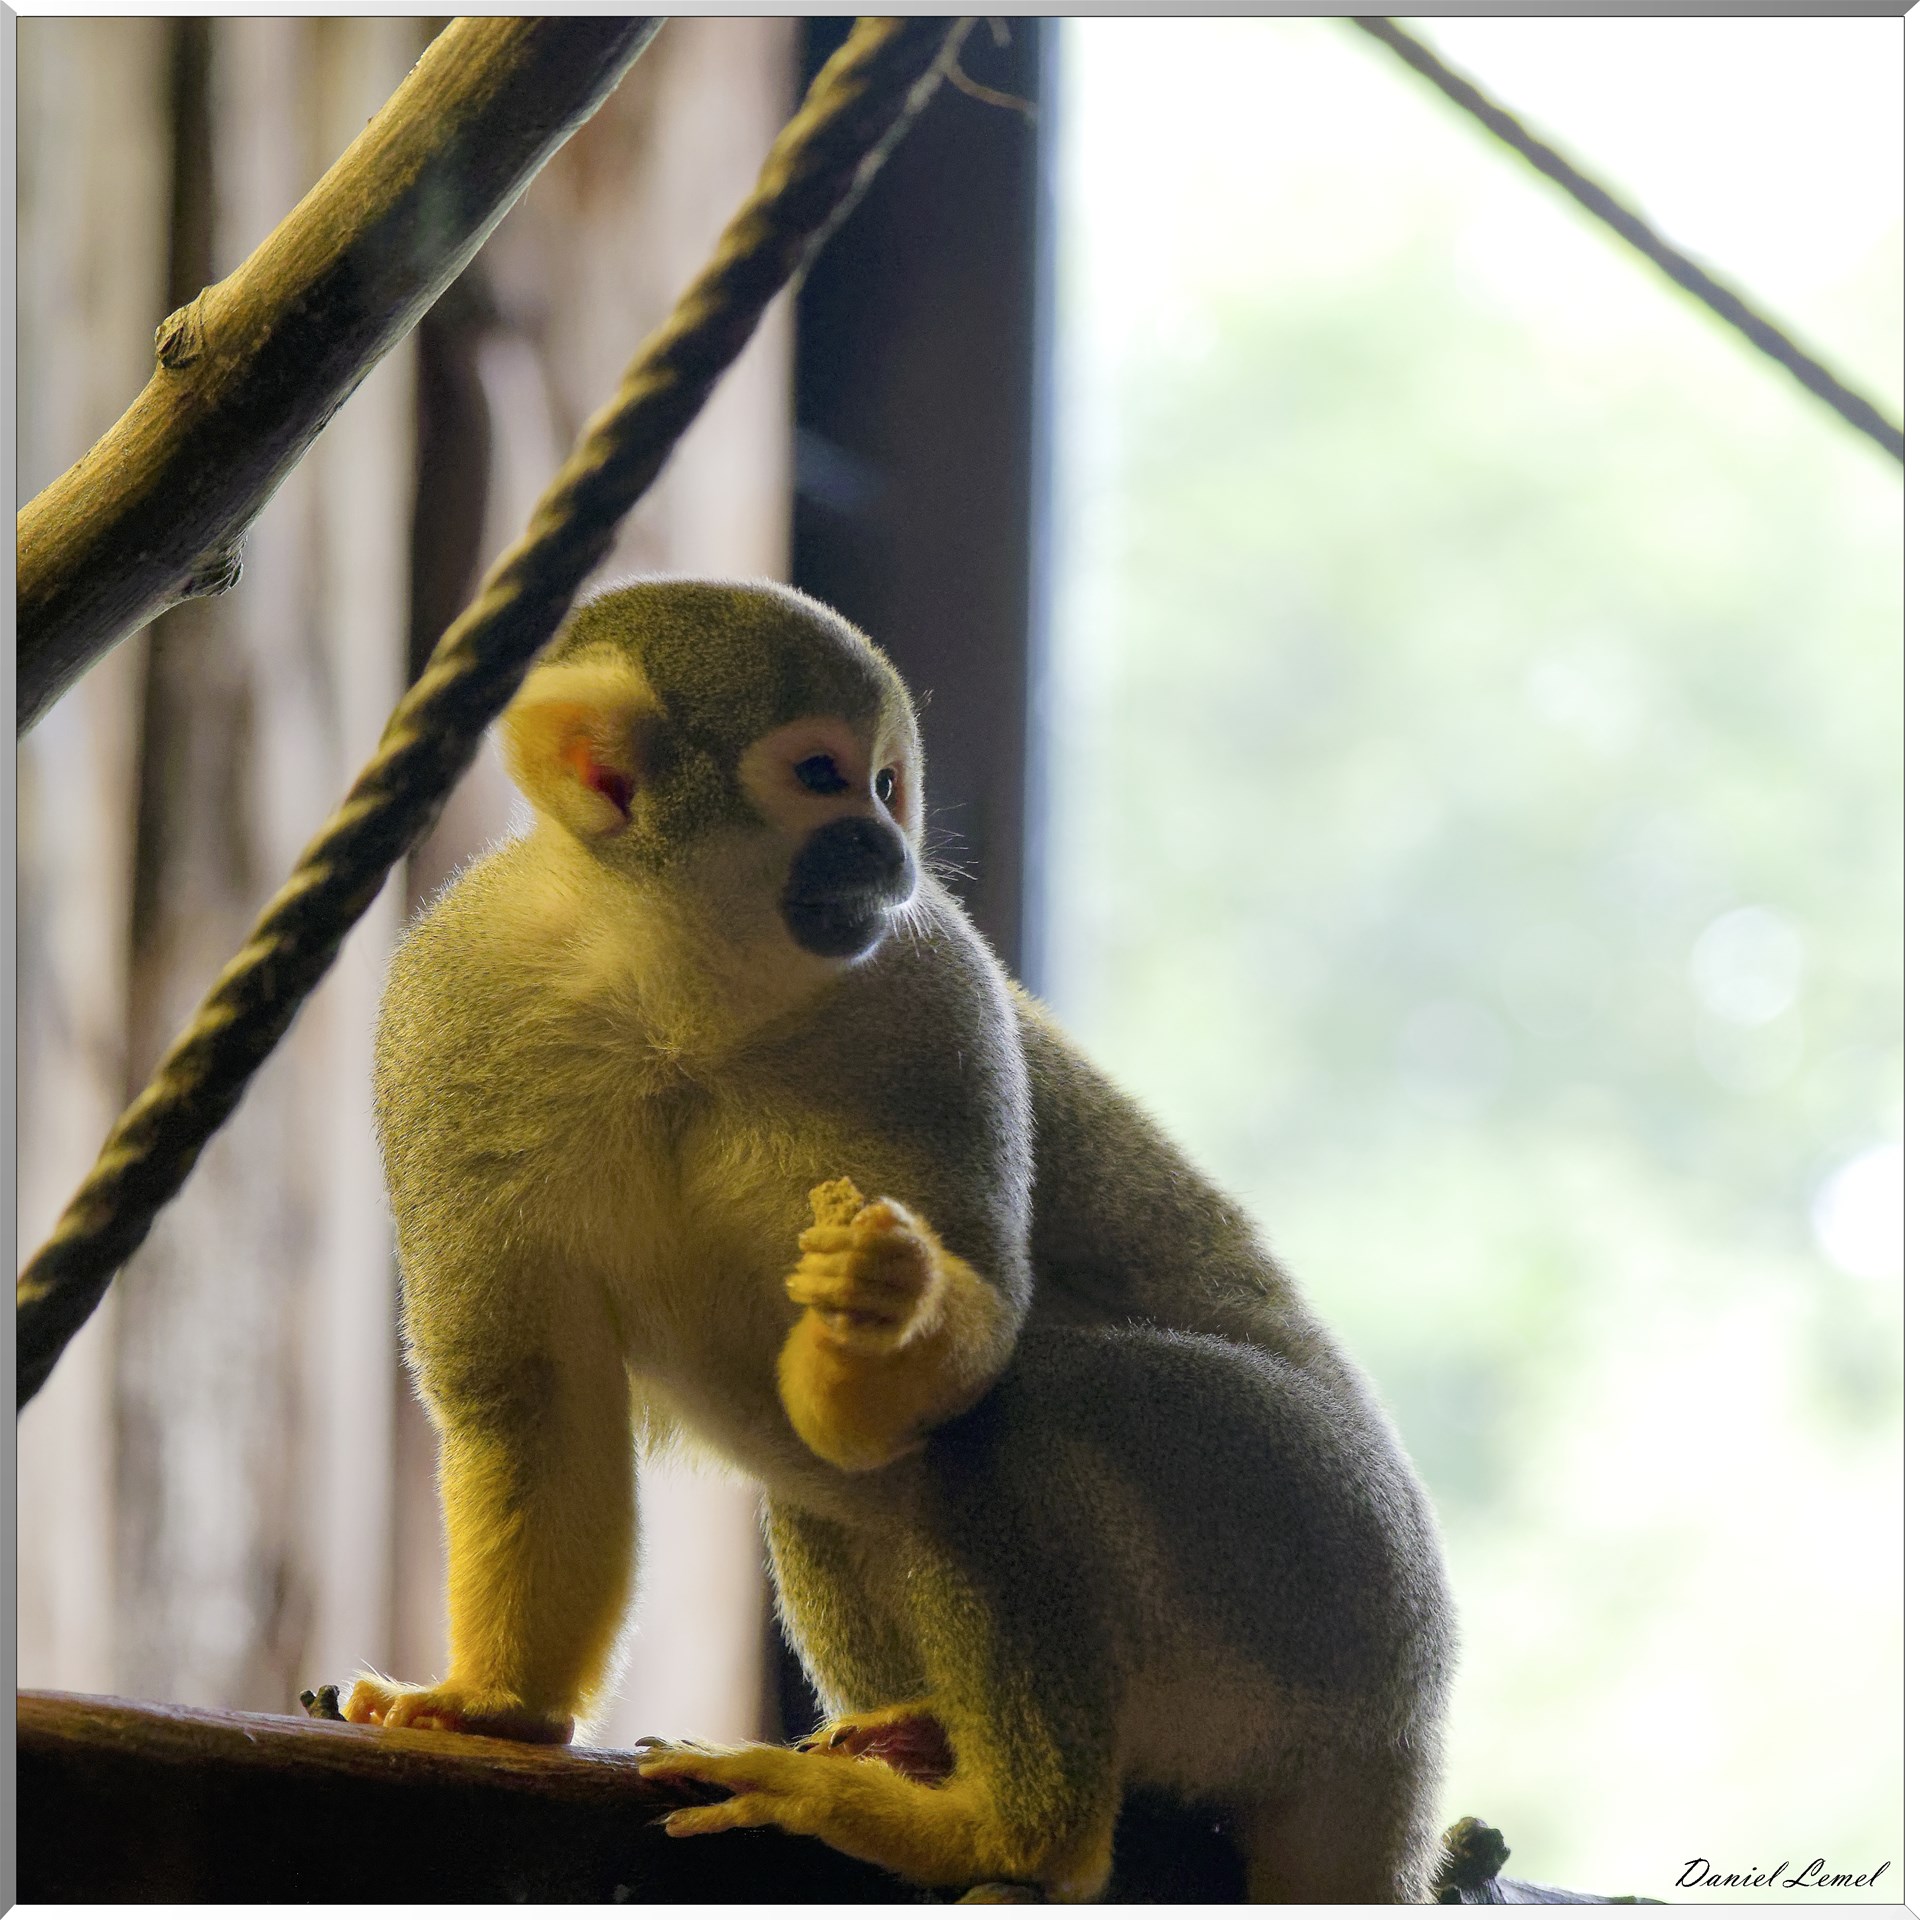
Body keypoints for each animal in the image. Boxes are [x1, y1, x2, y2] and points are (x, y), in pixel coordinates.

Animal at [345, 578, 1455, 1902]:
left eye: (886, 785)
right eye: (823, 776)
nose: (893, 852)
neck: (674, 984)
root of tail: (1408, 1725)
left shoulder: (932, 990)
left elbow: (952, 1364)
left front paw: (885, 1306)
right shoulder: (459, 1004)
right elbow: (533, 1392)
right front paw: (496, 1707)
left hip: (1323, 1572)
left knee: (1023, 1413)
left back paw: (1008, 1835)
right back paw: (927, 1756)